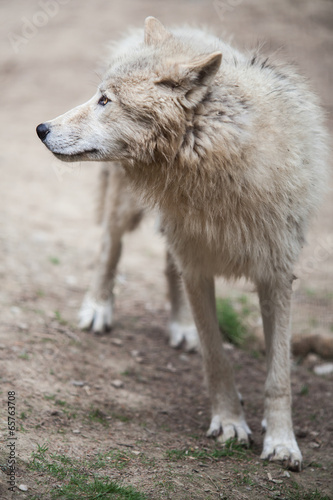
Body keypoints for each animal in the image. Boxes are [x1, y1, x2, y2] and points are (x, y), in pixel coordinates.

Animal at [35, 15, 326, 468]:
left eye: (105, 100)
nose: (41, 128)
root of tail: (177, 26)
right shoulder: (199, 268)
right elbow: (217, 359)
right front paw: (230, 422)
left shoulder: (277, 274)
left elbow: (279, 374)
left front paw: (282, 442)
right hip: (127, 208)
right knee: (109, 247)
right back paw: (98, 308)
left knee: (167, 266)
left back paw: (181, 325)